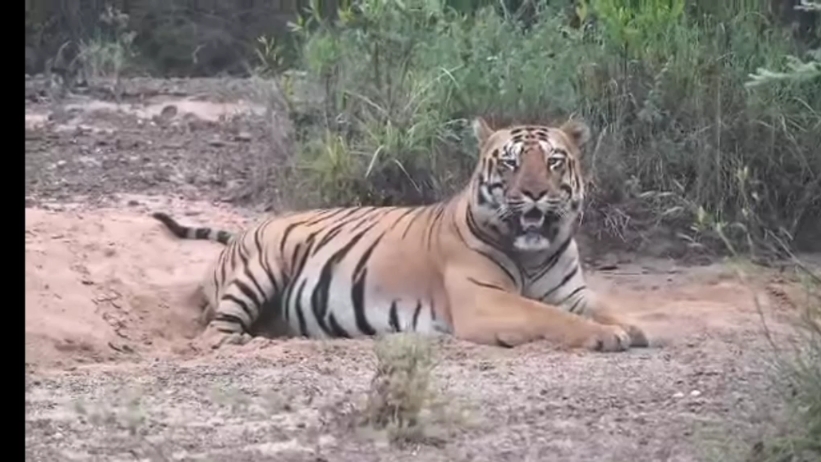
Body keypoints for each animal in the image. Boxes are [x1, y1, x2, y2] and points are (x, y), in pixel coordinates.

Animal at [154, 117, 652, 352]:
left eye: (553, 162)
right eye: (510, 163)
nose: (533, 193)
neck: (533, 252)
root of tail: (246, 229)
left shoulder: (571, 294)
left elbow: (600, 308)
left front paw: (631, 326)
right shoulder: (485, 302)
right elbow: (551, 318)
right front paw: (608, 336)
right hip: (258, 271)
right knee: (213, 331)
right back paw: (244, 340)